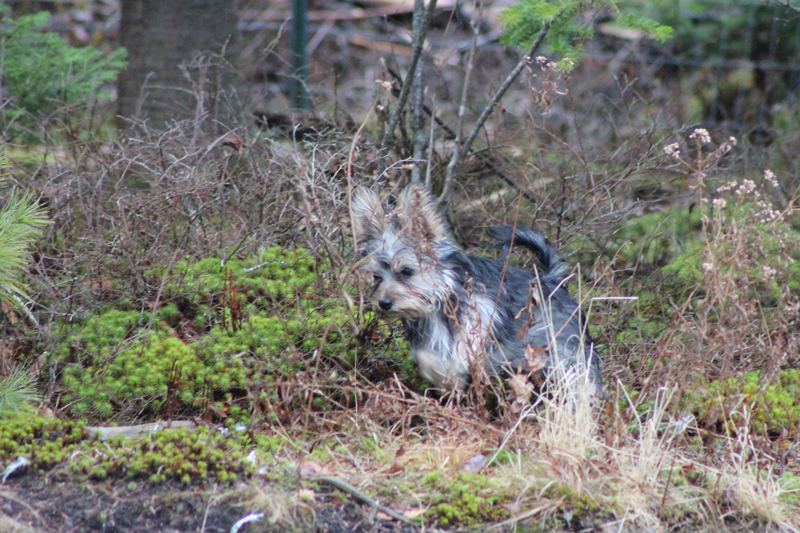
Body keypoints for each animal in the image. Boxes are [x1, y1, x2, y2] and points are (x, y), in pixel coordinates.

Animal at [354, 185, 604, 392]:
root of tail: (551, 279)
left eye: (406, 271)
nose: (384, 303)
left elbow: (464, 346)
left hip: (563, 345)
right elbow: (429, 356)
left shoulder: (481, 316)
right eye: (376, 277)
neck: (442, 297)